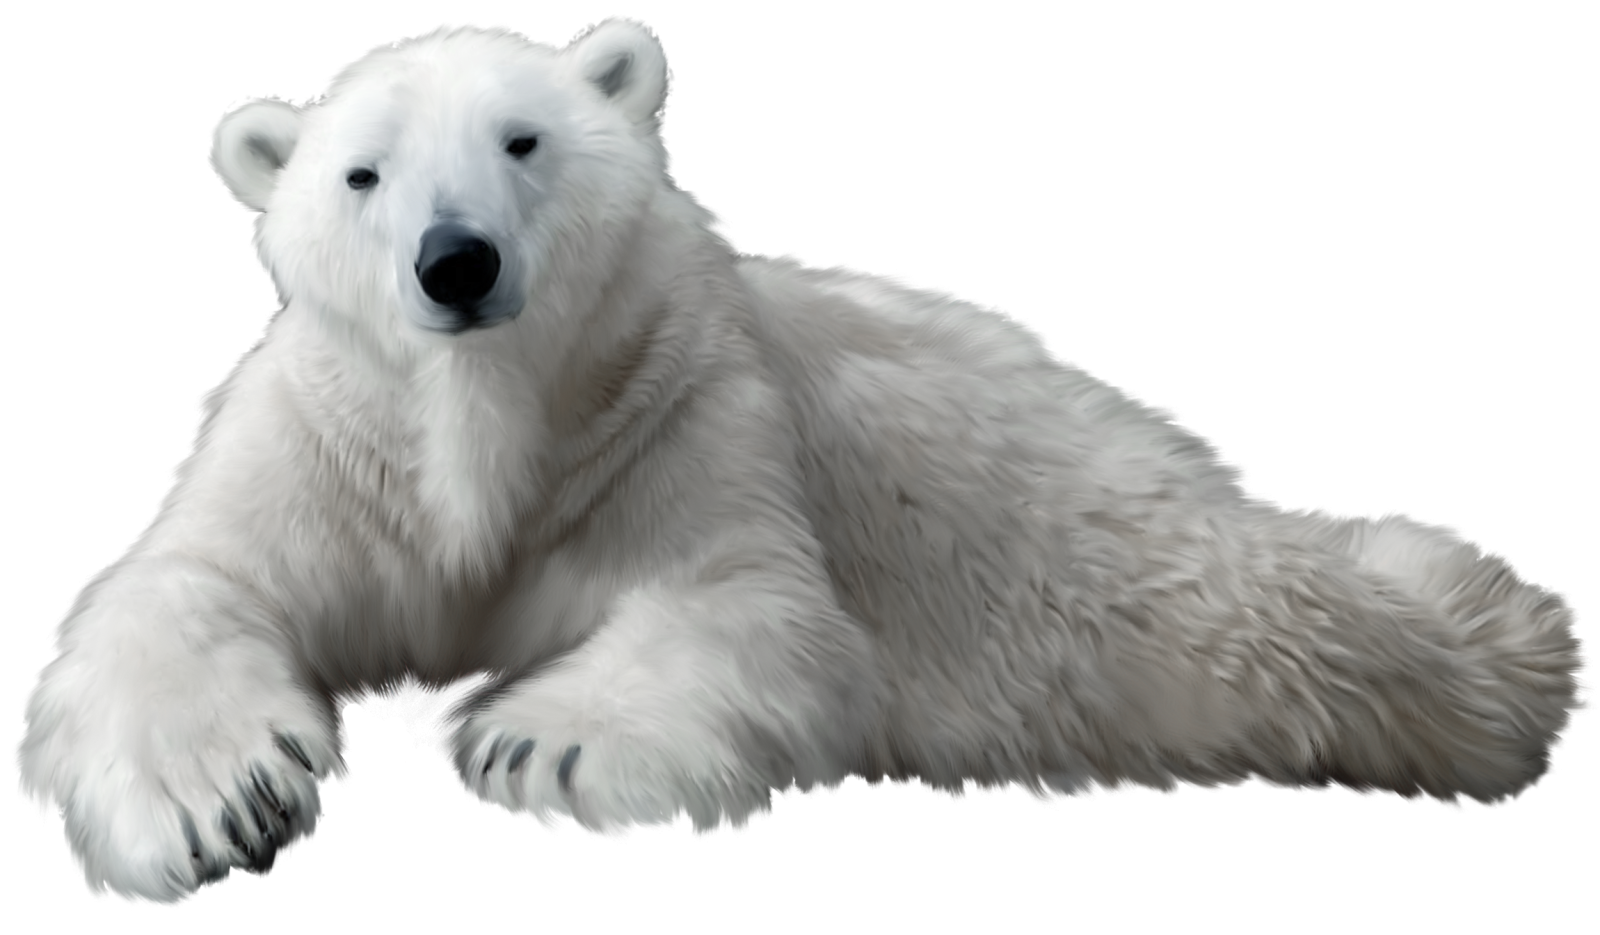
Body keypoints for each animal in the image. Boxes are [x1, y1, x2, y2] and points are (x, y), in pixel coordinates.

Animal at [11, 15, 1591, 908]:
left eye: (523, 140)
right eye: (361, 173)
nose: (455, 262)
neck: (487, 420)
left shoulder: (678, 412)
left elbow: (748, 608)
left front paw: (535, 739)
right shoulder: (335, 445)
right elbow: (182, 583)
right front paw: (220, 806)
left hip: (1119, 561)